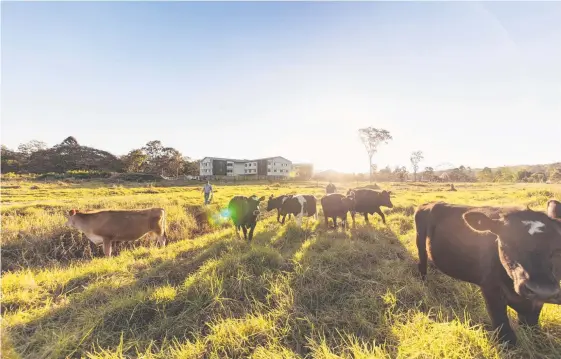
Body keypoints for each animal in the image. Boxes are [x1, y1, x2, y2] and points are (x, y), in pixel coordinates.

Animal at [412, 201, 560, 348]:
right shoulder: (490, 288)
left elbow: (532, 324)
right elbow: (503, 326)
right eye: (507, 243)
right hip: (419, 241)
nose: (541, 289)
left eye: (558, 247)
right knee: (422, 264)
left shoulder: (535, 303)